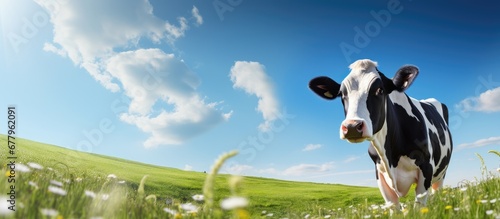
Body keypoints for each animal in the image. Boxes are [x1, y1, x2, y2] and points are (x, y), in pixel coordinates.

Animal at [308, 59, 454, 208]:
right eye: (342, 94)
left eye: (380, 90)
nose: (352, 126)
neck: (391, 156)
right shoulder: (380, 173)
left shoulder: (426, 168)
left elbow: (420, 206)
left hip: (441, 174)